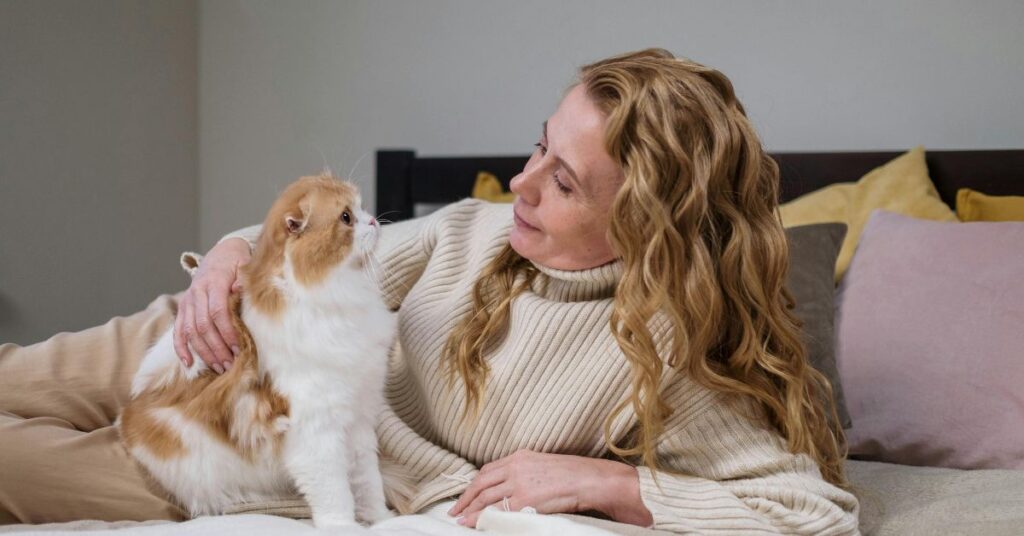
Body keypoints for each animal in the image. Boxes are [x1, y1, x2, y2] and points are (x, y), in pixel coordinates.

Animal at [119, 173, 403, 528]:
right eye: (346, 217)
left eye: (361, 208)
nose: (374, 220)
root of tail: (126, 417)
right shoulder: (317, 433)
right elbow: (335, 494)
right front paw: (344, 527)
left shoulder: (359, 420)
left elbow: (368, 483)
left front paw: (381, 520)